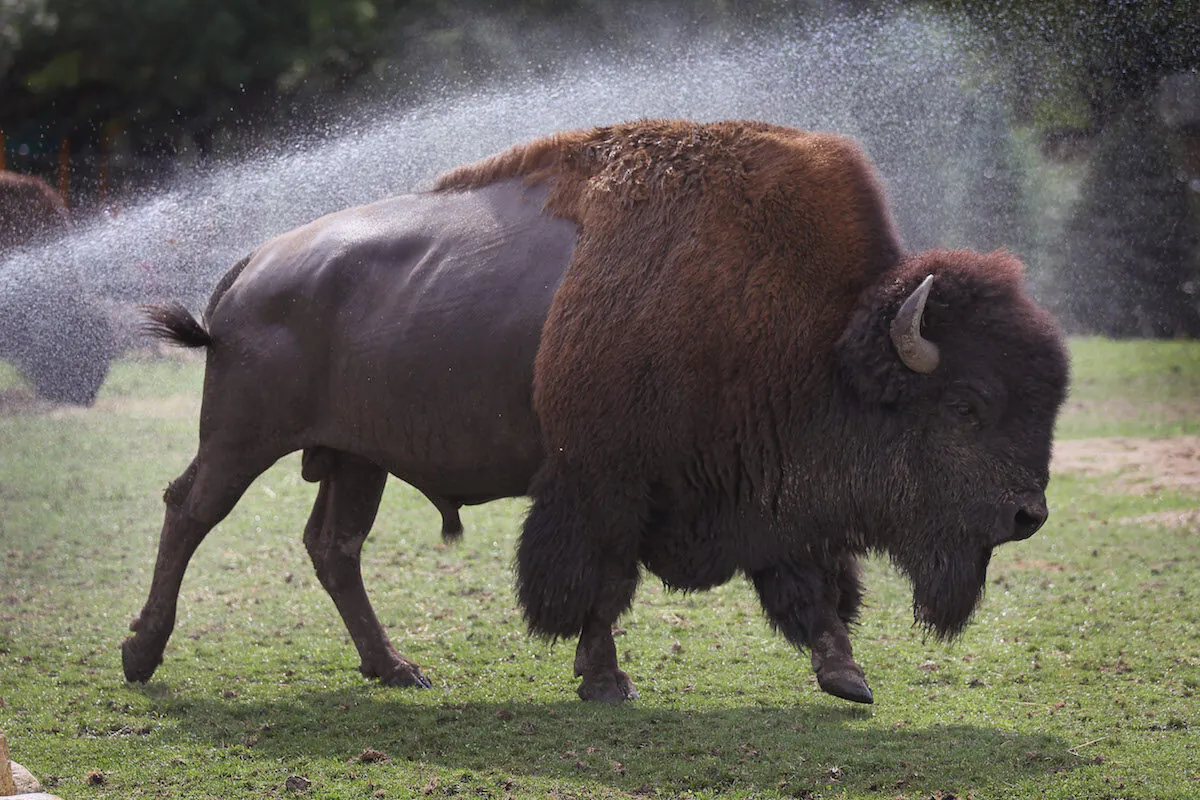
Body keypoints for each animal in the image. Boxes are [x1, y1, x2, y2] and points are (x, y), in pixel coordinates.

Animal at [124, 120, 1068, 705]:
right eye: (968, 406)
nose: (1029, 515)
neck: (823, 335)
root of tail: (250, 267)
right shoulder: (606, 485)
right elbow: (603, 585)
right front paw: (606, 681)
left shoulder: (762, 495)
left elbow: (807, 581)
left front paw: (846, 676)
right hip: (244, 438)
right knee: (189, 510)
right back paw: (141, 654)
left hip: (357, 459)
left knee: (334, 547)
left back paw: (396, 669)